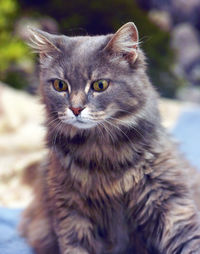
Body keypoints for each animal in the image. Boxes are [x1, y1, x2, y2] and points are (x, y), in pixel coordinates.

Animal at [19, 22, 200, 253]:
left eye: (100, 85)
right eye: (60, 85)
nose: (75, 109)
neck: (101, 149)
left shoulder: (169, 199)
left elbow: (187, 239)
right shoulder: (71, 209)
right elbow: (76, 246)